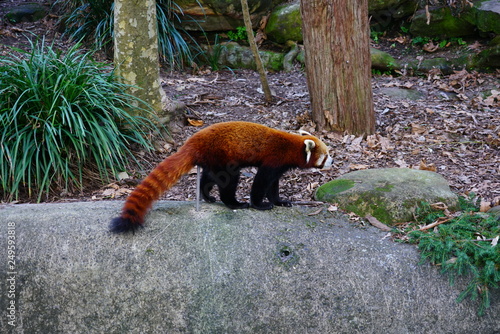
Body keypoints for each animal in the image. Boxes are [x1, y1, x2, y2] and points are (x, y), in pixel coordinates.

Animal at [110, 121, 332, 234]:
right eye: (326, 155)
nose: (332, 161)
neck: (292, 146)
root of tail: (192, 142)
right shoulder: (273, 160)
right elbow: (261, 182)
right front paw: (259, 204)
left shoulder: (278, 167)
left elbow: (273, 185)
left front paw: (280, 201)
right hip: (222, 155)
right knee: (229, 180)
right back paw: (234, 203)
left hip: (213, 159)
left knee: (209, 177)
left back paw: (207, 196)